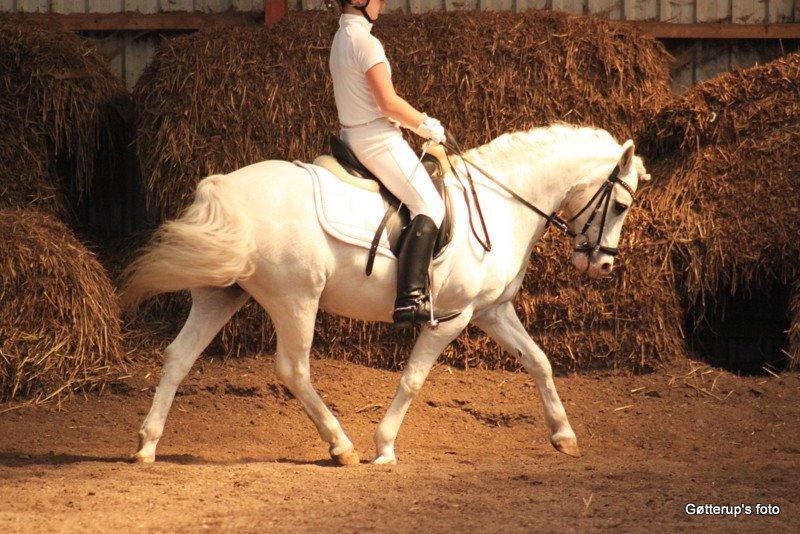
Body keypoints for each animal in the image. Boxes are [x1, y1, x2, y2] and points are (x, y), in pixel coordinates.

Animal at [122, 123, 650, 466]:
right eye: (621, 205)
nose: (602, 265)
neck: (502, 204)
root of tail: (226, 188)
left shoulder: (492, 311)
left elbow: (539, 361)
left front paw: (564, 435)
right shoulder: (453, 318)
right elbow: (413, 380)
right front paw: (384, 447)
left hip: (221, 295)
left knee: (178, 356)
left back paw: (147, 444)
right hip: (296, 299)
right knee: (293, 369)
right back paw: (342, 446)